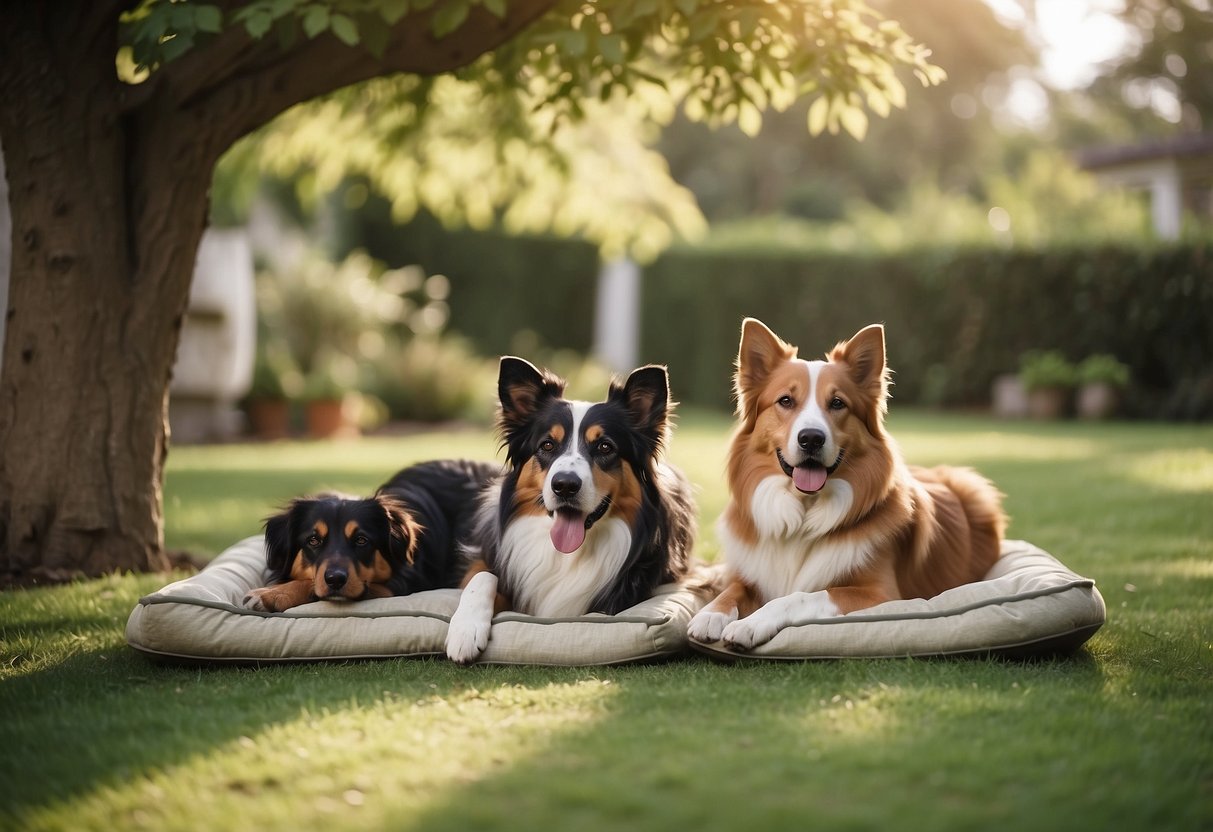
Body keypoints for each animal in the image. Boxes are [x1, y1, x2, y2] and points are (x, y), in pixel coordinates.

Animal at [243, 458, 494, 616]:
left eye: (361, 540)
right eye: (313, 541)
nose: (335, 579)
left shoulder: (396, 586)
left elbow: (311, 583)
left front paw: (269, 596)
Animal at [446, 356, 698, 664]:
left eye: (605, 447)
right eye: (547, 445)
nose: (564, 486)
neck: (569, 555)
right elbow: (481, 576)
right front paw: (465, 631)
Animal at [688, 320, 1009, 650]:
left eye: (837, 403)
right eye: (785, 401)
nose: (811, 438)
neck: (805, 511)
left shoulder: (882, 594)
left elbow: (798, 596)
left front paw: (750, 623)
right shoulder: (747, 575)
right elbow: (733, 589)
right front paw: (710, 614)